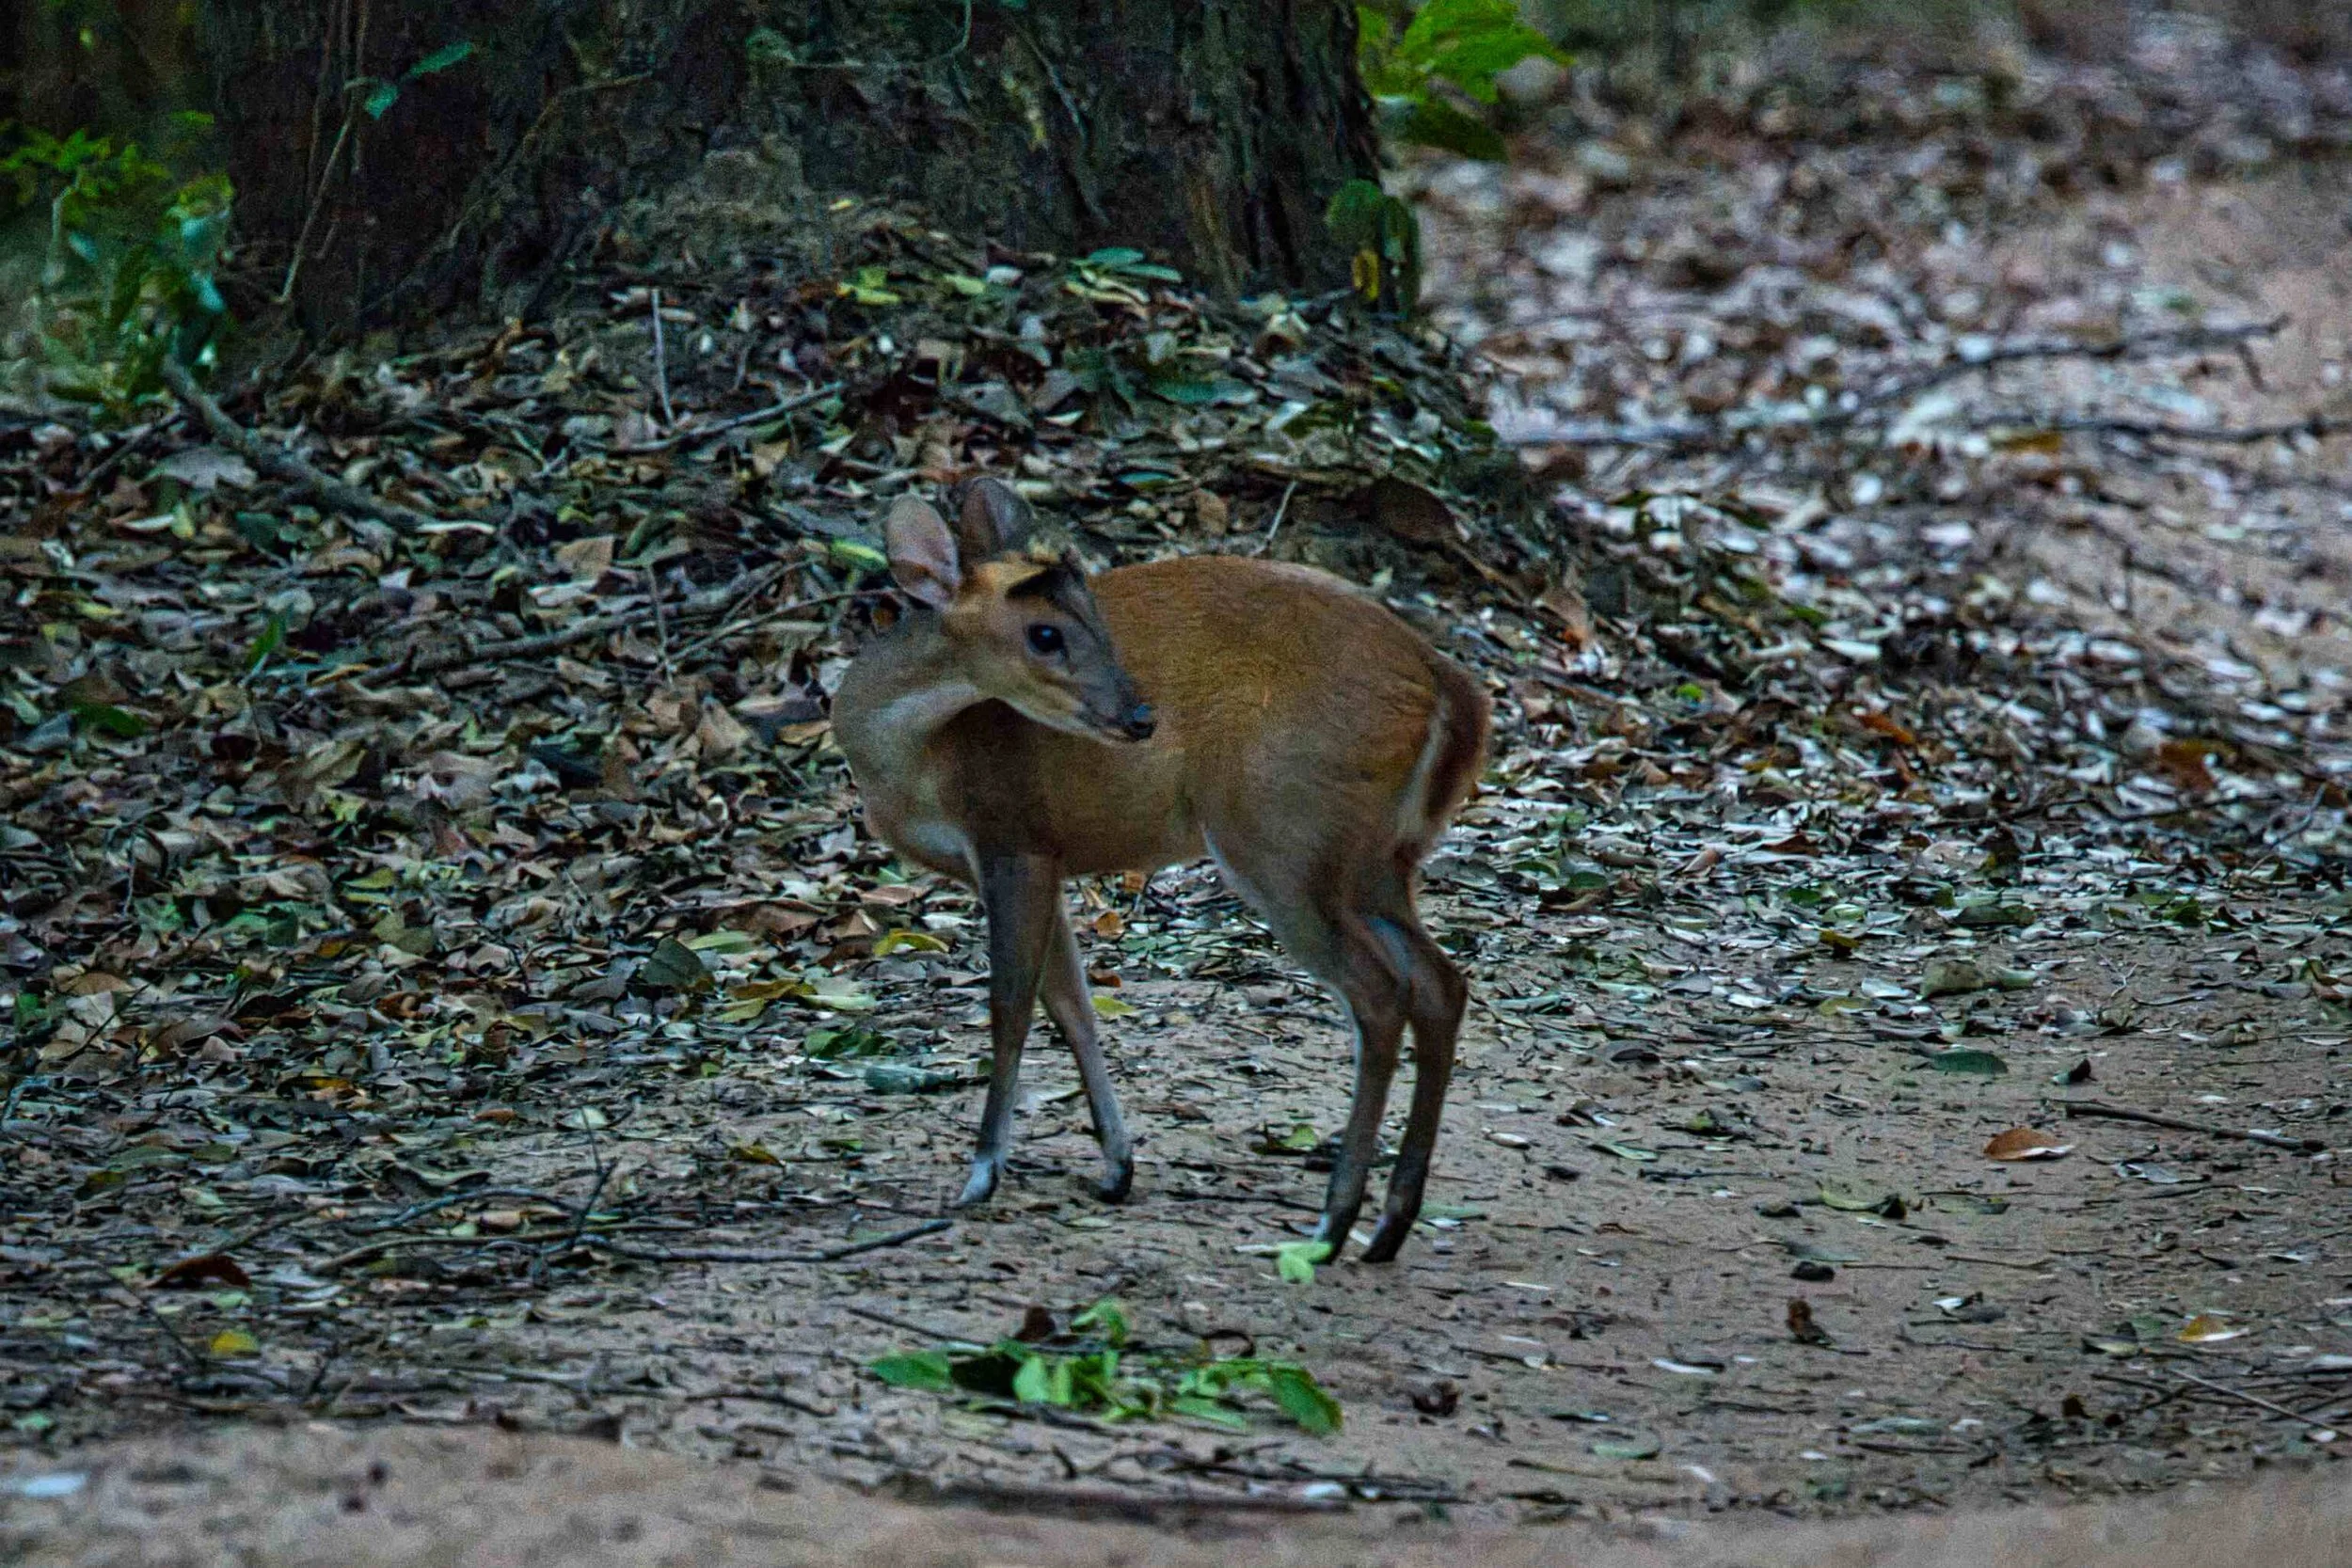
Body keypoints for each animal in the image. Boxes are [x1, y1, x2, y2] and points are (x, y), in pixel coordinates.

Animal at [830, 478, 1490, 1262]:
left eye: (1095, 617)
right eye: (1046, 633)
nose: (1141, 716)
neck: (915, 763)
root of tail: (1450, 686)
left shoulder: (1012, 836)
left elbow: (1010, 1006)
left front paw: (982, 1173)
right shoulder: (1042, 855)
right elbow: (1073, 1006)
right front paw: (1117, 1165)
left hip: (1280, 832)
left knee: (1382, 992)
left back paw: (1331, 1224)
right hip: (1372, 858)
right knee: (1441, 982)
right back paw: (1388, 1225)